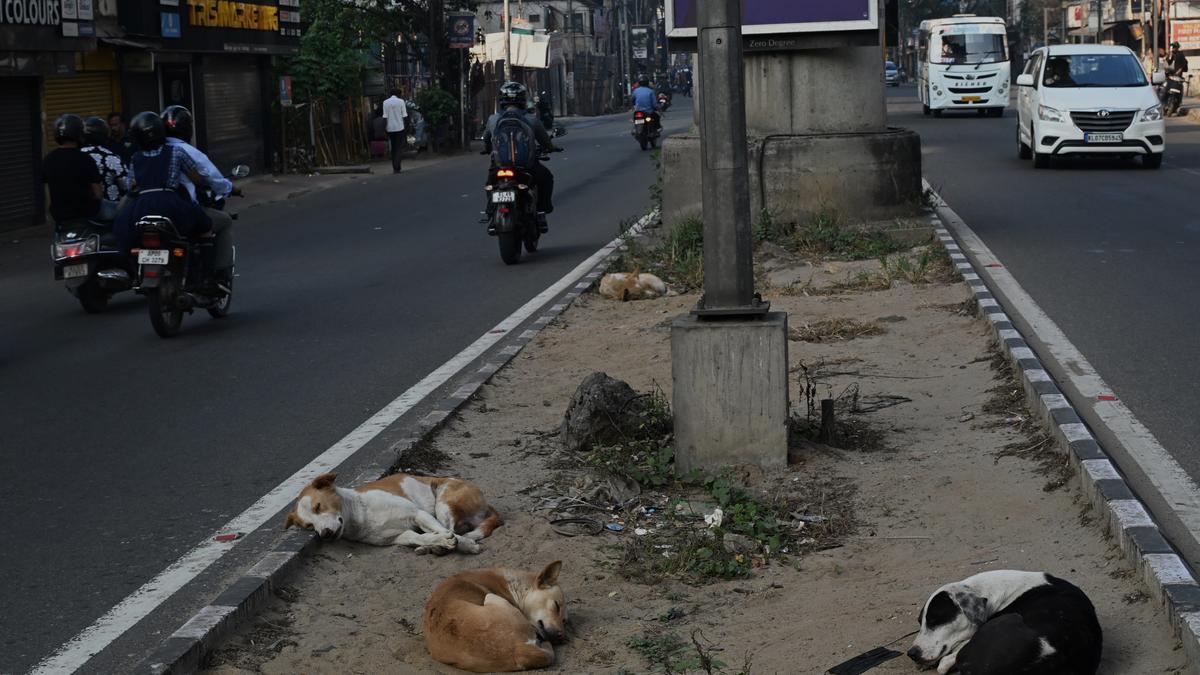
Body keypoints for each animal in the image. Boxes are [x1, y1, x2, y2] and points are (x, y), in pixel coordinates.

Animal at [282, 470, 501, 554]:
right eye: (309, 525)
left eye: (318, 507)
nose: (324, 534)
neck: (361, 514)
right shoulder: (400, 536)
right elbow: (421, 537)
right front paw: (436, 543)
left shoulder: (418, 513)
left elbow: (447, 533)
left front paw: (467, 545)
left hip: (443, 502)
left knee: (451, 527)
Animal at [424, 559, 568, 667]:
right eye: (556, 606)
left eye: (564, 620)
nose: (562, 637)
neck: (516, 586)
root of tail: (519, 649)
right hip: (490, 596)